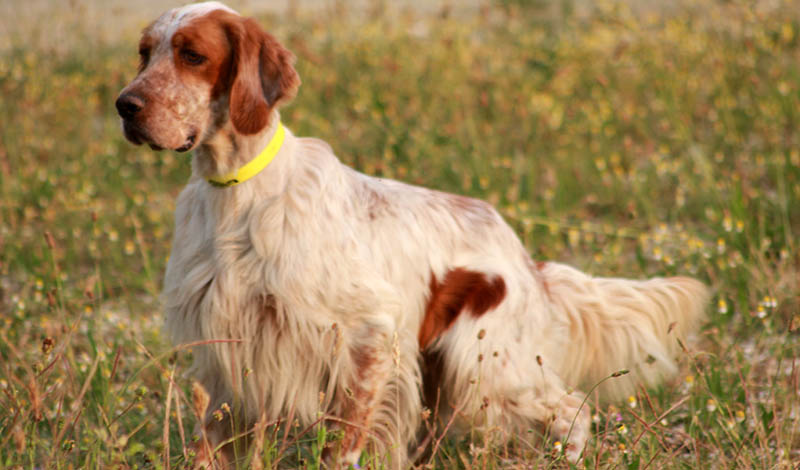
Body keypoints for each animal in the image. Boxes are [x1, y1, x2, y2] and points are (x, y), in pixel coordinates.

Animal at [115, 3, 708, 466]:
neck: (237, 193)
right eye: (145, 53)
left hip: (489, 371)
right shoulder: (224, 352)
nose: (126, 105)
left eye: (193, 55)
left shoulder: (367, 335)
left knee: (574, 411)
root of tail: (527, 263)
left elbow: (345, 446)